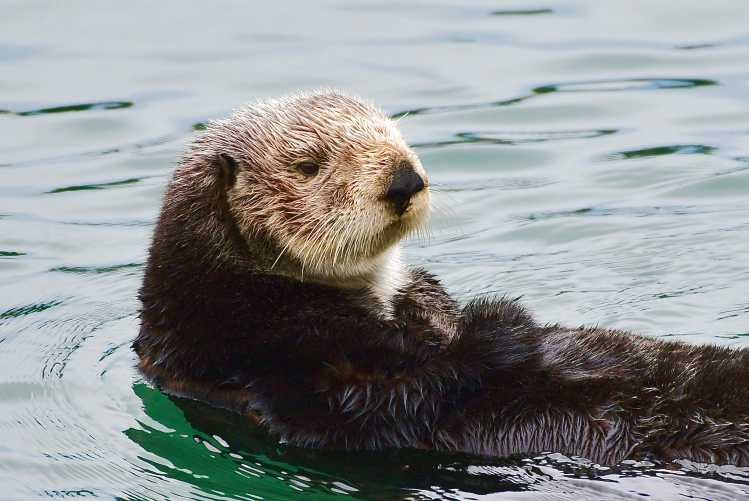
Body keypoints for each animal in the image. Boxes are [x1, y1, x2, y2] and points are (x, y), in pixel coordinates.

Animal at [134, 90, 749, 466]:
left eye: (391, 133)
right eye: (308, 166)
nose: (405, 179)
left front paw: (442, 307)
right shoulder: (271, 361)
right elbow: (387, 402)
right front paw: (502, 322)